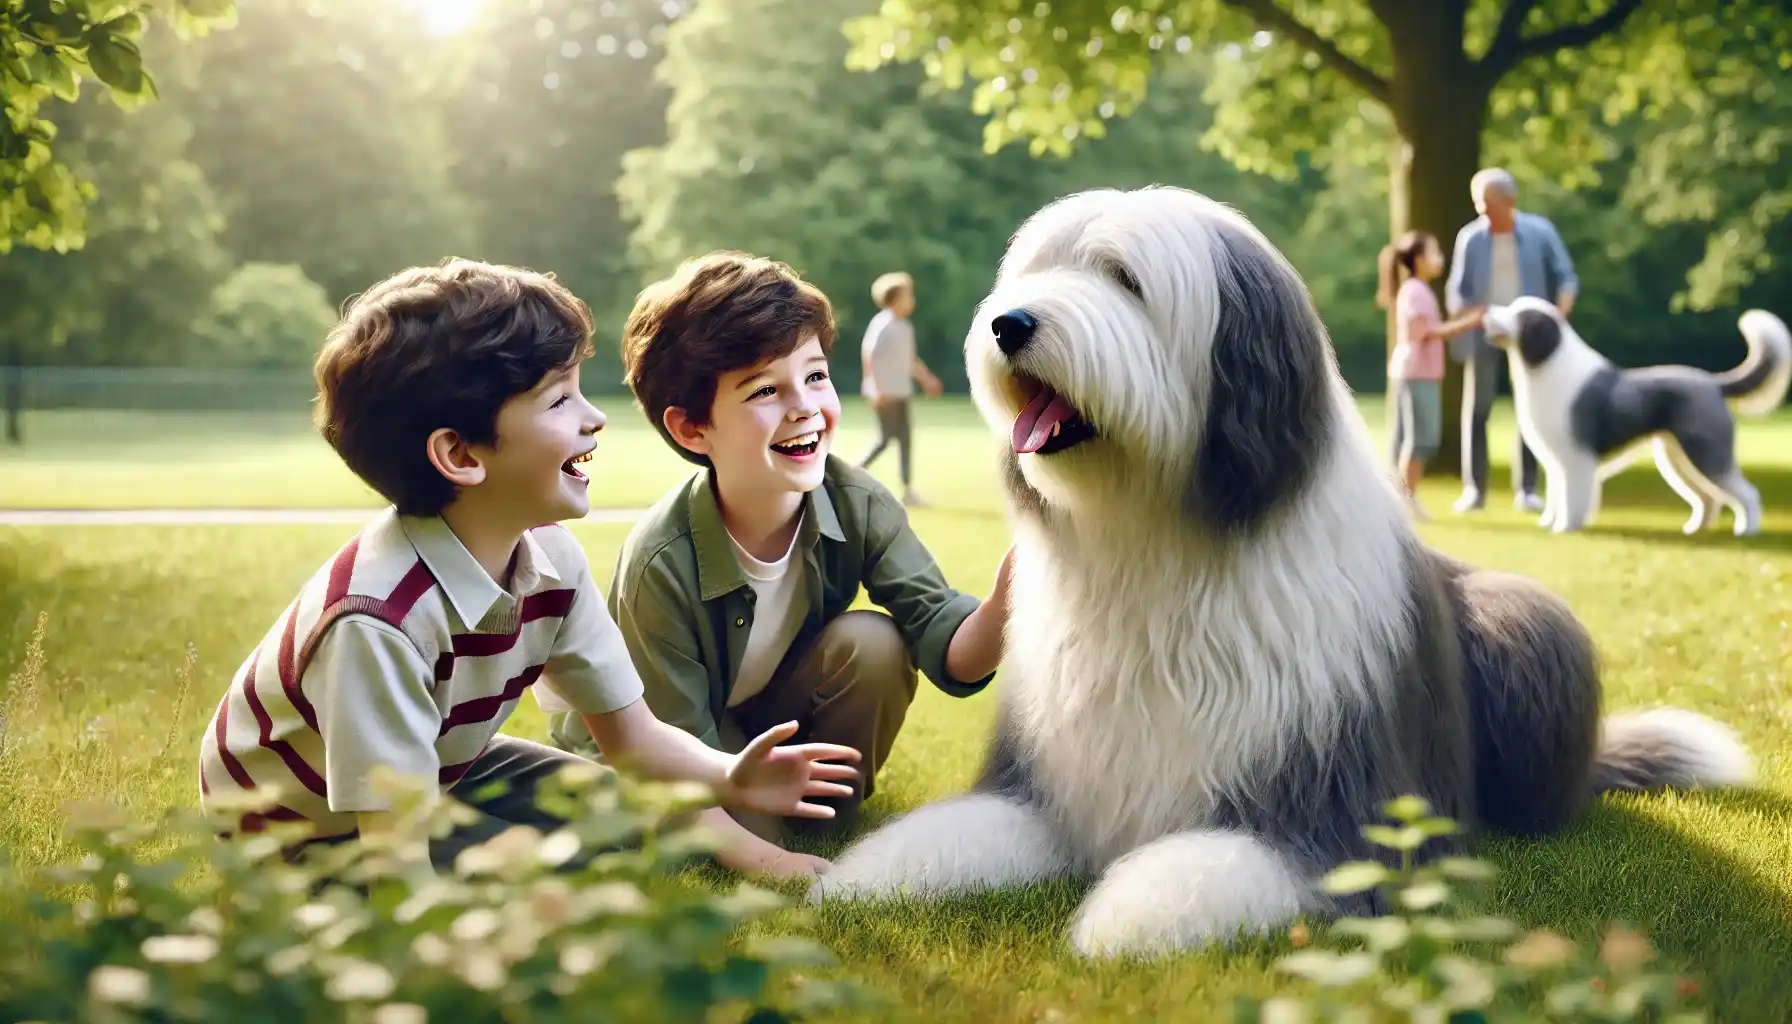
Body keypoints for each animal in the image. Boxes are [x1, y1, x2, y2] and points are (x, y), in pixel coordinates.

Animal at [1476, 295, 1784, 538]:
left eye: (1519, 314)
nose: (1485, 310)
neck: (1548, 366)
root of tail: (1713, 384)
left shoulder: (1574, 459)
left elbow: (1571, 497)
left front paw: (1565, 528)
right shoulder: (1555, 461)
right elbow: (1556, 495)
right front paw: (1549, 522)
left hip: (1707, 450)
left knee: (1746, 493)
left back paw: (1747, 530)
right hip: (1679, 456)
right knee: (1708, 498)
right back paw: (1695, 528)